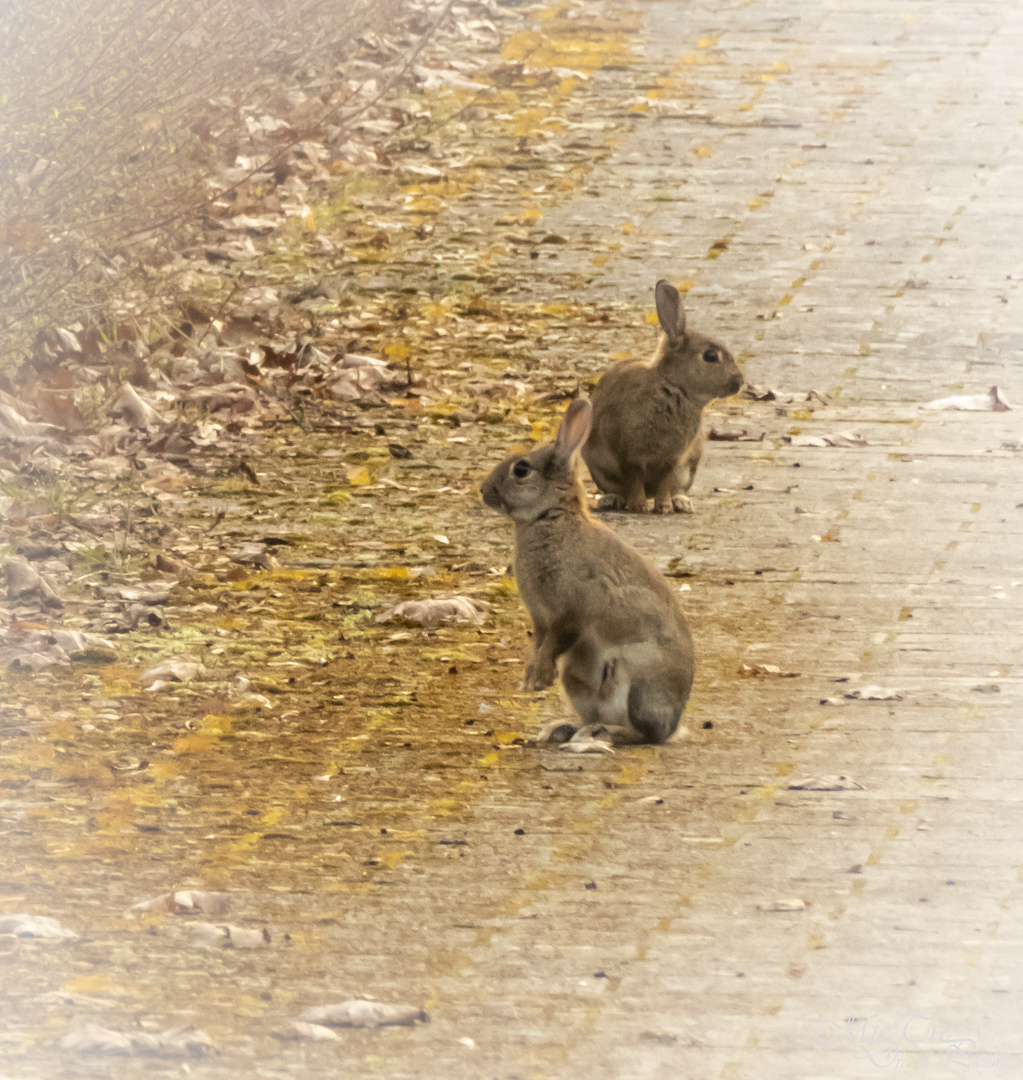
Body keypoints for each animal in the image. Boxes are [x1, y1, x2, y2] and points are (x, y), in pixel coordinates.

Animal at [481, 401, 695, 747]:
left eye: (522, 470)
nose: (484, 490)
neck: (551, 516)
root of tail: (672, 727)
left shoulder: (571, 610)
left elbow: (556, 639)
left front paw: (538, 677)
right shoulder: (541, 618)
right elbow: (539, 643)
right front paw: (532, 676)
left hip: (632, 678)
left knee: (643, 734)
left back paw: (602, 732)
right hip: (577, 676)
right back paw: (566, 730)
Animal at [579, 278, 738, 514]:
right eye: (710, 355)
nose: (739, 381)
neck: (672, 385)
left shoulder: (672, 459)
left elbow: (664, 482)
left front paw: (663, 507)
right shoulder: (628, 454)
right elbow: (634, 479)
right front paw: (638, 506)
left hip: (689, 467)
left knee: (676, 488)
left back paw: (680, 503)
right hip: (599, 469)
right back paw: (613, 500)